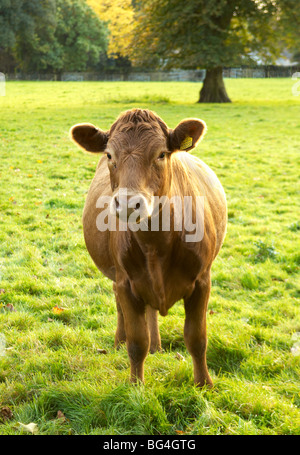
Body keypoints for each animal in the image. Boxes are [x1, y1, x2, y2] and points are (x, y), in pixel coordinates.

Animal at [69, 108, 225, 388]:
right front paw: (135, 386)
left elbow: (197, 338)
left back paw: (157, 346)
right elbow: (137, 342)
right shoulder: (126, 283)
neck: (156, 245)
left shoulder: (202, 281)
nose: (129, 204)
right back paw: (122, 341)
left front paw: (204, 385)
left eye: (161, 154)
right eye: (110, 155)